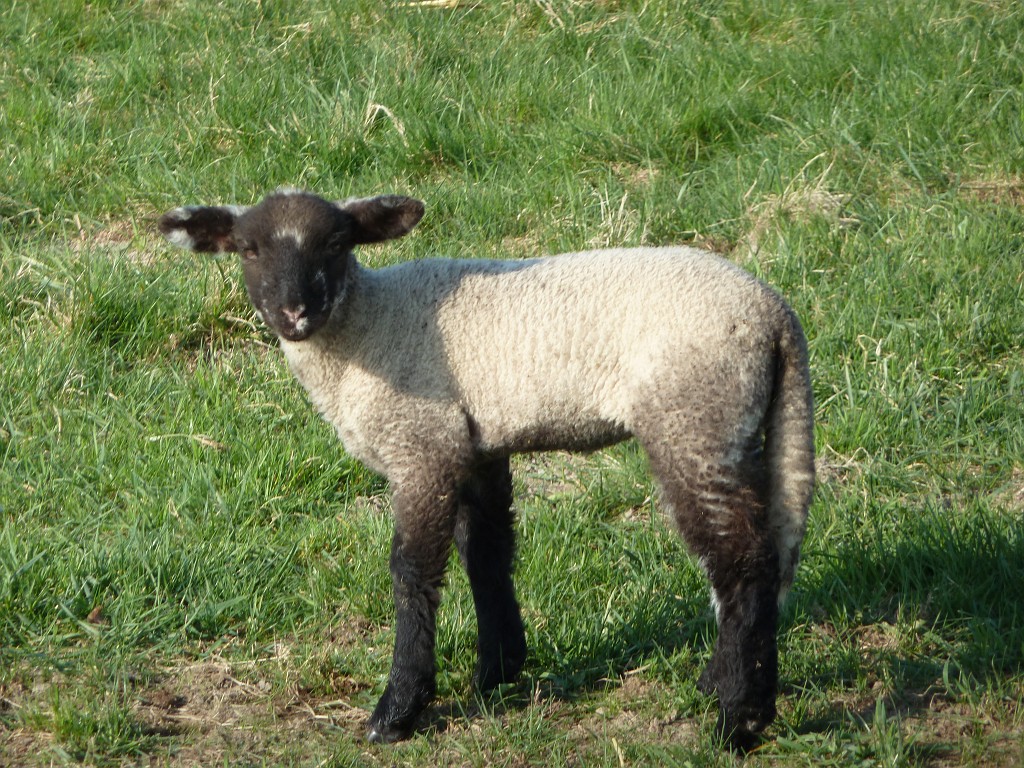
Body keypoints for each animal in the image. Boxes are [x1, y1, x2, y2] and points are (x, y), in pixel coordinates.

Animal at [158, 189, 815, 751]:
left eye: (338, 243)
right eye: (249, 249)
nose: (294, 312)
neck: (367, 330)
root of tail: (775, 314)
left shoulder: (422, 446)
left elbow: (413, 572)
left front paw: (399, 711)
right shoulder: (475, 447)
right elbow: (487, 555)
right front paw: (497, 671)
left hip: (694, 419)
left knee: (743, 563)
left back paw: (738, 720)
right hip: (735, 426)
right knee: (766, 551)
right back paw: (722, 685)